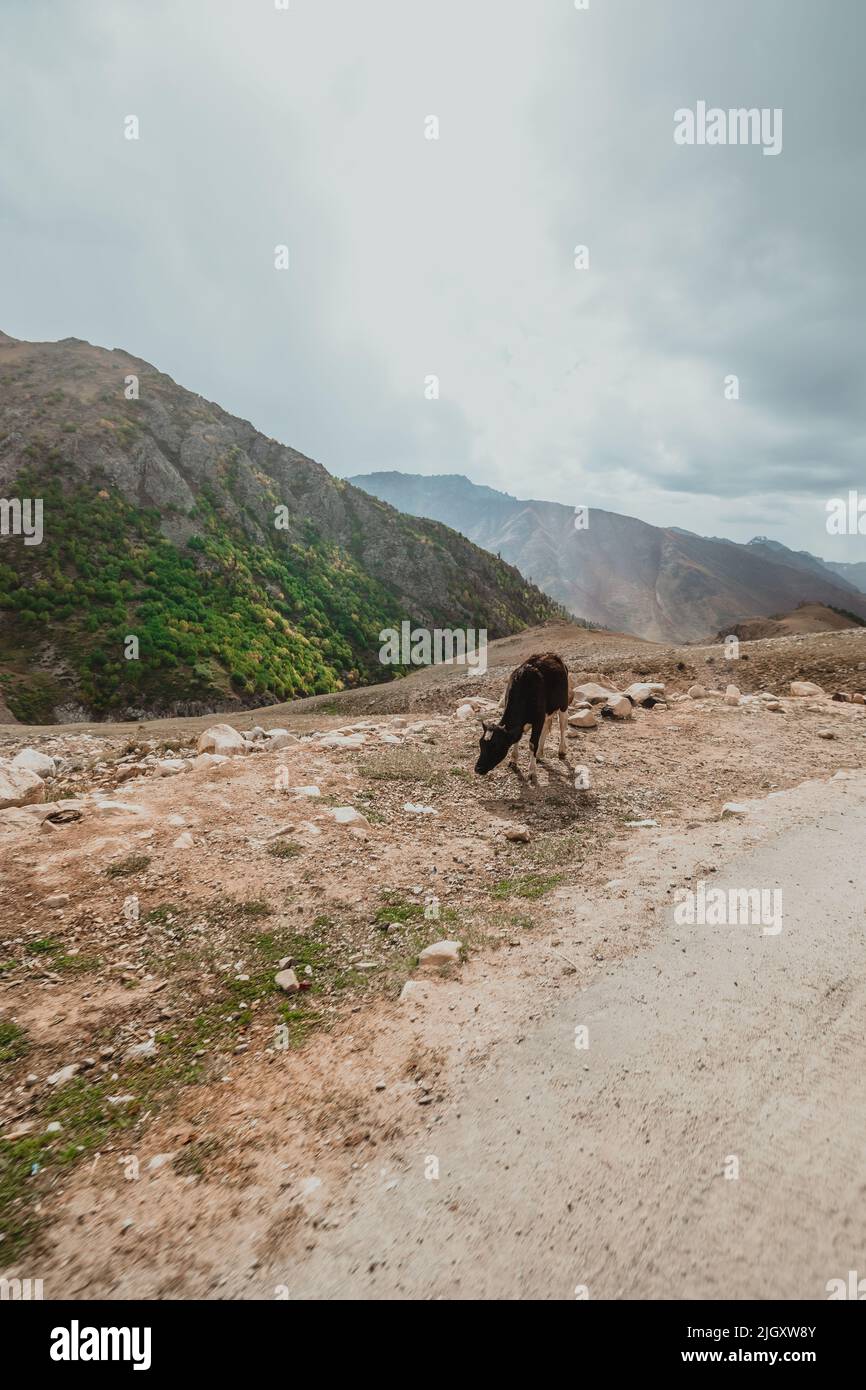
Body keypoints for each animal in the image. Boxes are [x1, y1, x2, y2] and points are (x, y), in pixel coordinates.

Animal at [478, 650, 572, 783]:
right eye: (481, 744)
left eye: (495, 746)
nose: (477, 768)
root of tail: (553, 655)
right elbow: (517, 738)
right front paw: (513, 760)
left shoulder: (538, 719)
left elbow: (532, 743)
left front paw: (532, 771)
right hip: (547, 711)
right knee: (547, 726)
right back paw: (539, 753)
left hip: (563, 704)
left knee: (562, 725)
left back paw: (562, 750)